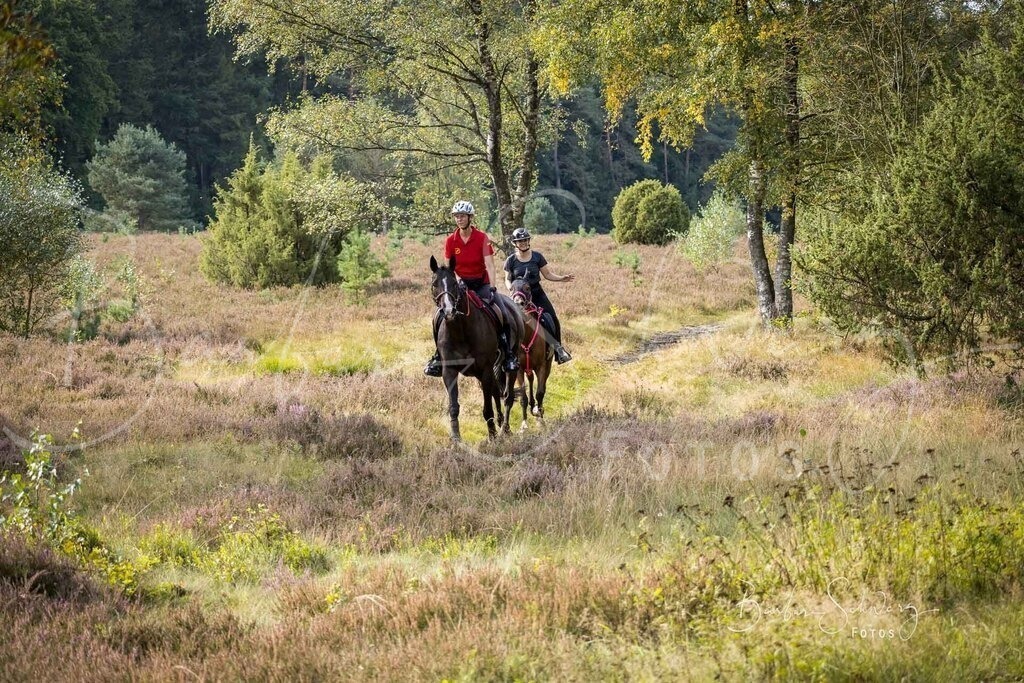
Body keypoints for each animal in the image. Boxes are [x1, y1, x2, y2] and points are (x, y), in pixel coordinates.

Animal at [429, 255, 522, 441]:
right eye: (435, 284)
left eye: (454, 283)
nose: (449, 311)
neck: (460, 330)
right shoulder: (449, 371)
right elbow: (453, 407)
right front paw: (456, 439)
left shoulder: (485, 369)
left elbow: (487, 409)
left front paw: (492, 437)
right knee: (496, 391)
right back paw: (500, 422)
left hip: (508, 364)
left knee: (507, 396)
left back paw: (505, 429)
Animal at [509, 278, 554, 429]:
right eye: (511, 288)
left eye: (528, 288)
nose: (518, 302)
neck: (527, 337)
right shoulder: (519, 369)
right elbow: (523, 396)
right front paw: (524, 425)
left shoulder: (541, 366)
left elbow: (540, 392)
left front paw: (540, 418)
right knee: (530, 380)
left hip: (548, 365)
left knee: (542, 385)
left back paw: (537, 409)